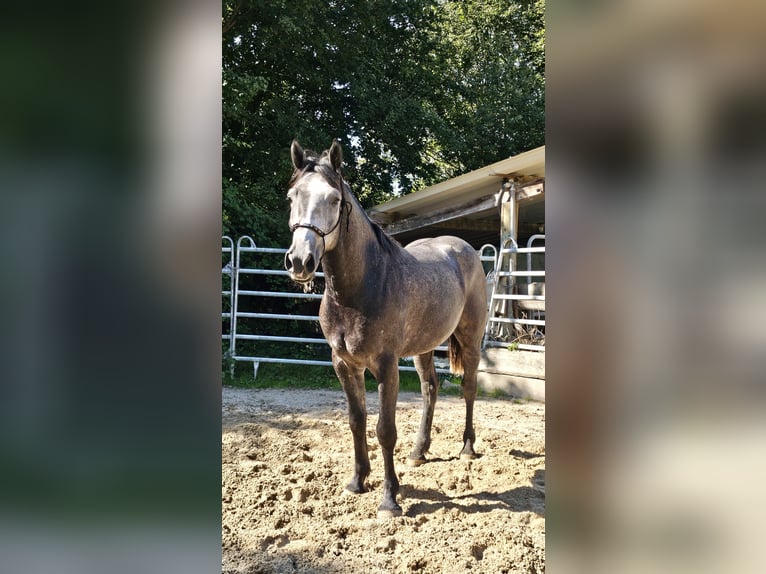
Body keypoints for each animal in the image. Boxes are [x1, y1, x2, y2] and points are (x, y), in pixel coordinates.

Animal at [284, 141, 488, 520]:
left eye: (334, 199)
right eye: (292, 196)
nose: (300, 261)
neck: (360, 288)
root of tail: (462, 246)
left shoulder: (385, 365)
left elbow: (385, 430)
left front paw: (390, 499)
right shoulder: (344, 365)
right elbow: (356, 421)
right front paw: (357, 481)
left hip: (470, 339)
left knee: (469, 388)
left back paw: (467, 448)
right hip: (424, 347)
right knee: (430, 389)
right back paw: (419, 452)